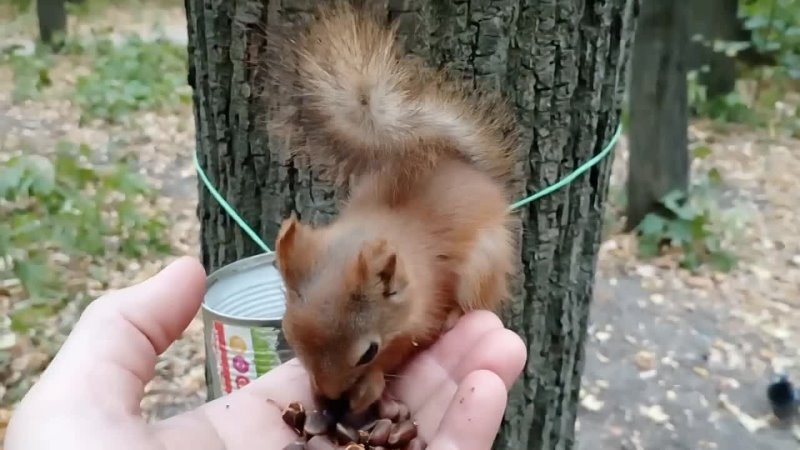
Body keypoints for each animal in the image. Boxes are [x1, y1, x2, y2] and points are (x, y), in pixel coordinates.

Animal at [266, 0, 520, 416]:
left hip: (484, 265)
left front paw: (369, 387)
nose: (330, 395)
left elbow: (406, 348)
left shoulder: (423, 314)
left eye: (369, 352)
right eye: (289, 331)